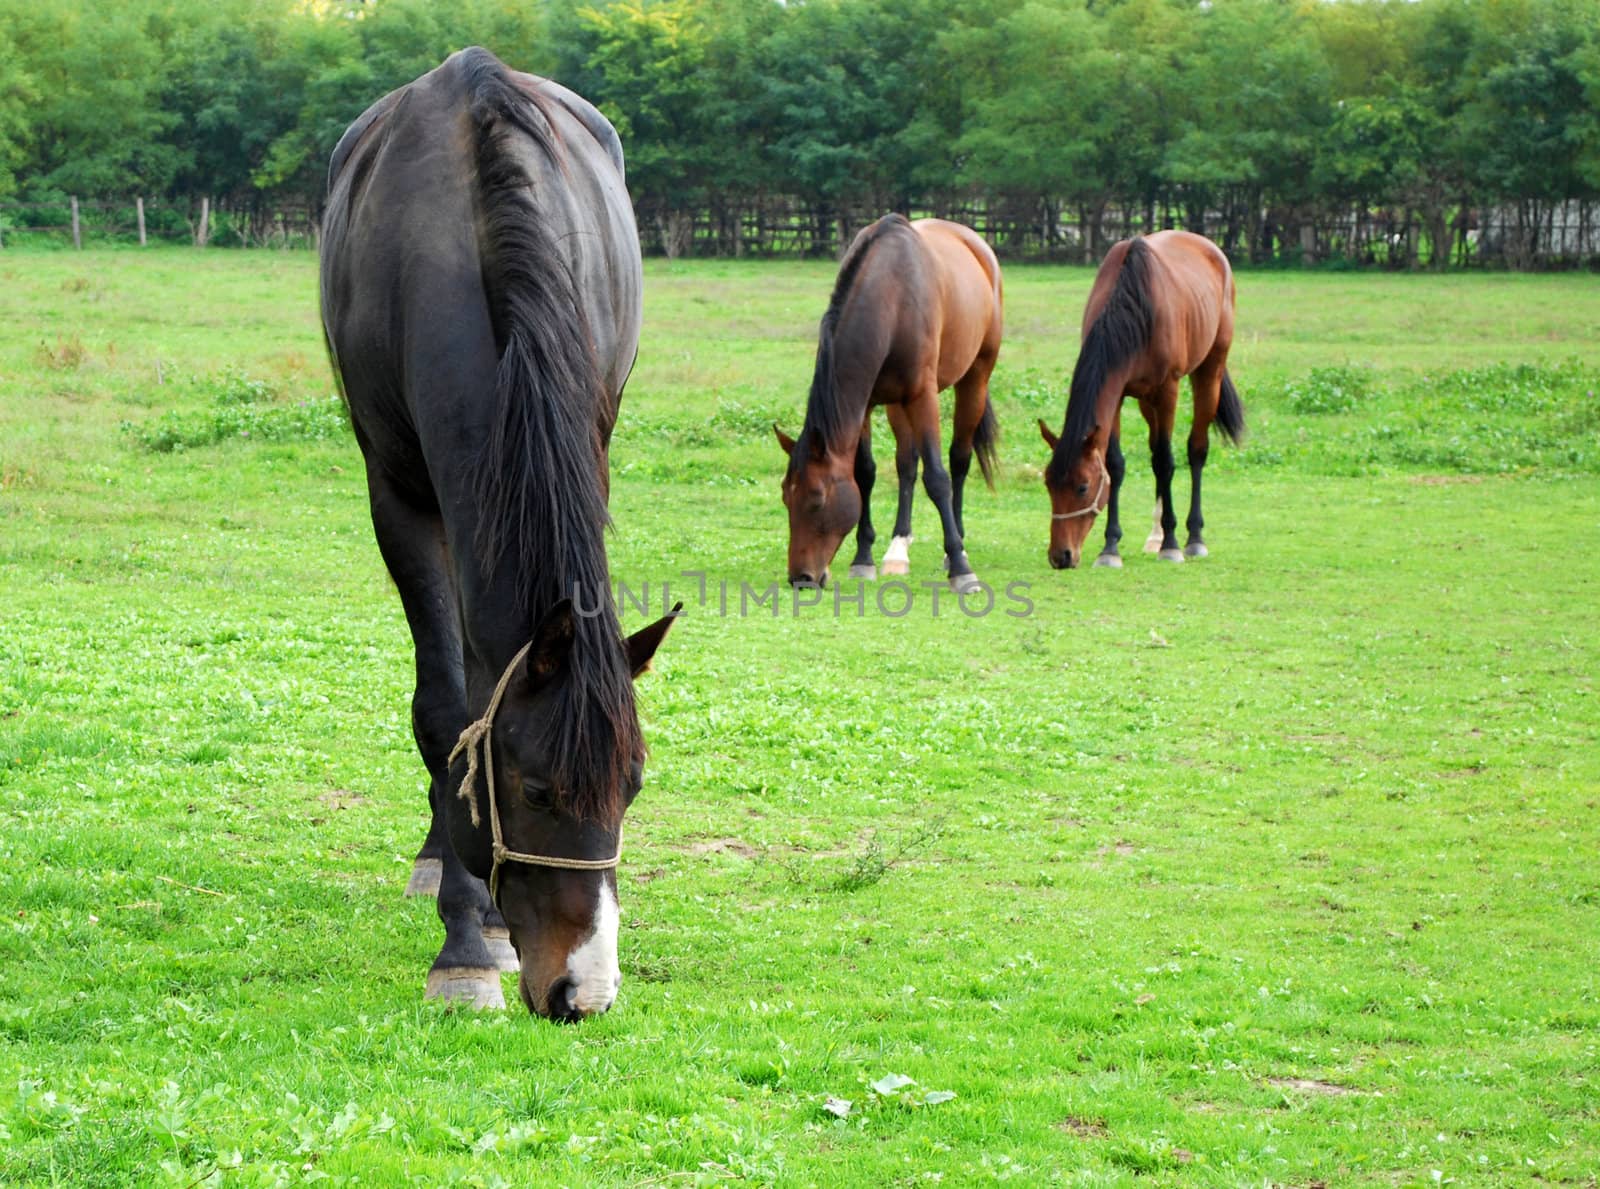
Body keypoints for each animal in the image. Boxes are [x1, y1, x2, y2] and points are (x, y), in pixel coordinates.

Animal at [318, 51, 675, 1017]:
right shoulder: (401, 496)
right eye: (535, 787)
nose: (584, 990)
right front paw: (464, 945)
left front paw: (485, 921)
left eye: (632, 786)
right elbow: (447, 709)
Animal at [774, 214, 998, 595]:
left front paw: (960, 567)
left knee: (958, 461)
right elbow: (865, 473)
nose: (801, 578)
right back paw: (898, 547)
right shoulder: (864, 405)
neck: (892, 297)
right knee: (907, 463)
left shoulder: (922, 397)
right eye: (786, 497)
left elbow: (938, 478)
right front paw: (863, 558)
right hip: (897, 405)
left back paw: (956, 545)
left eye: (817, 498)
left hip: (975, 378)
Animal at [1036, 232, 1248, 572]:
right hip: (1147, 402)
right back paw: (1155, 534)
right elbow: (1116, 464)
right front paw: (1110, 547)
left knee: (1196, 450)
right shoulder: (1118, 394)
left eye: (1083, 487)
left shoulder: (1167, 390)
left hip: (1209, 370)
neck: (1136, 308)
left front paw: (1172, 545)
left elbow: (1165, 461)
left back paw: (1193, 538)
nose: (1061, 556)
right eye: (1048, 483)